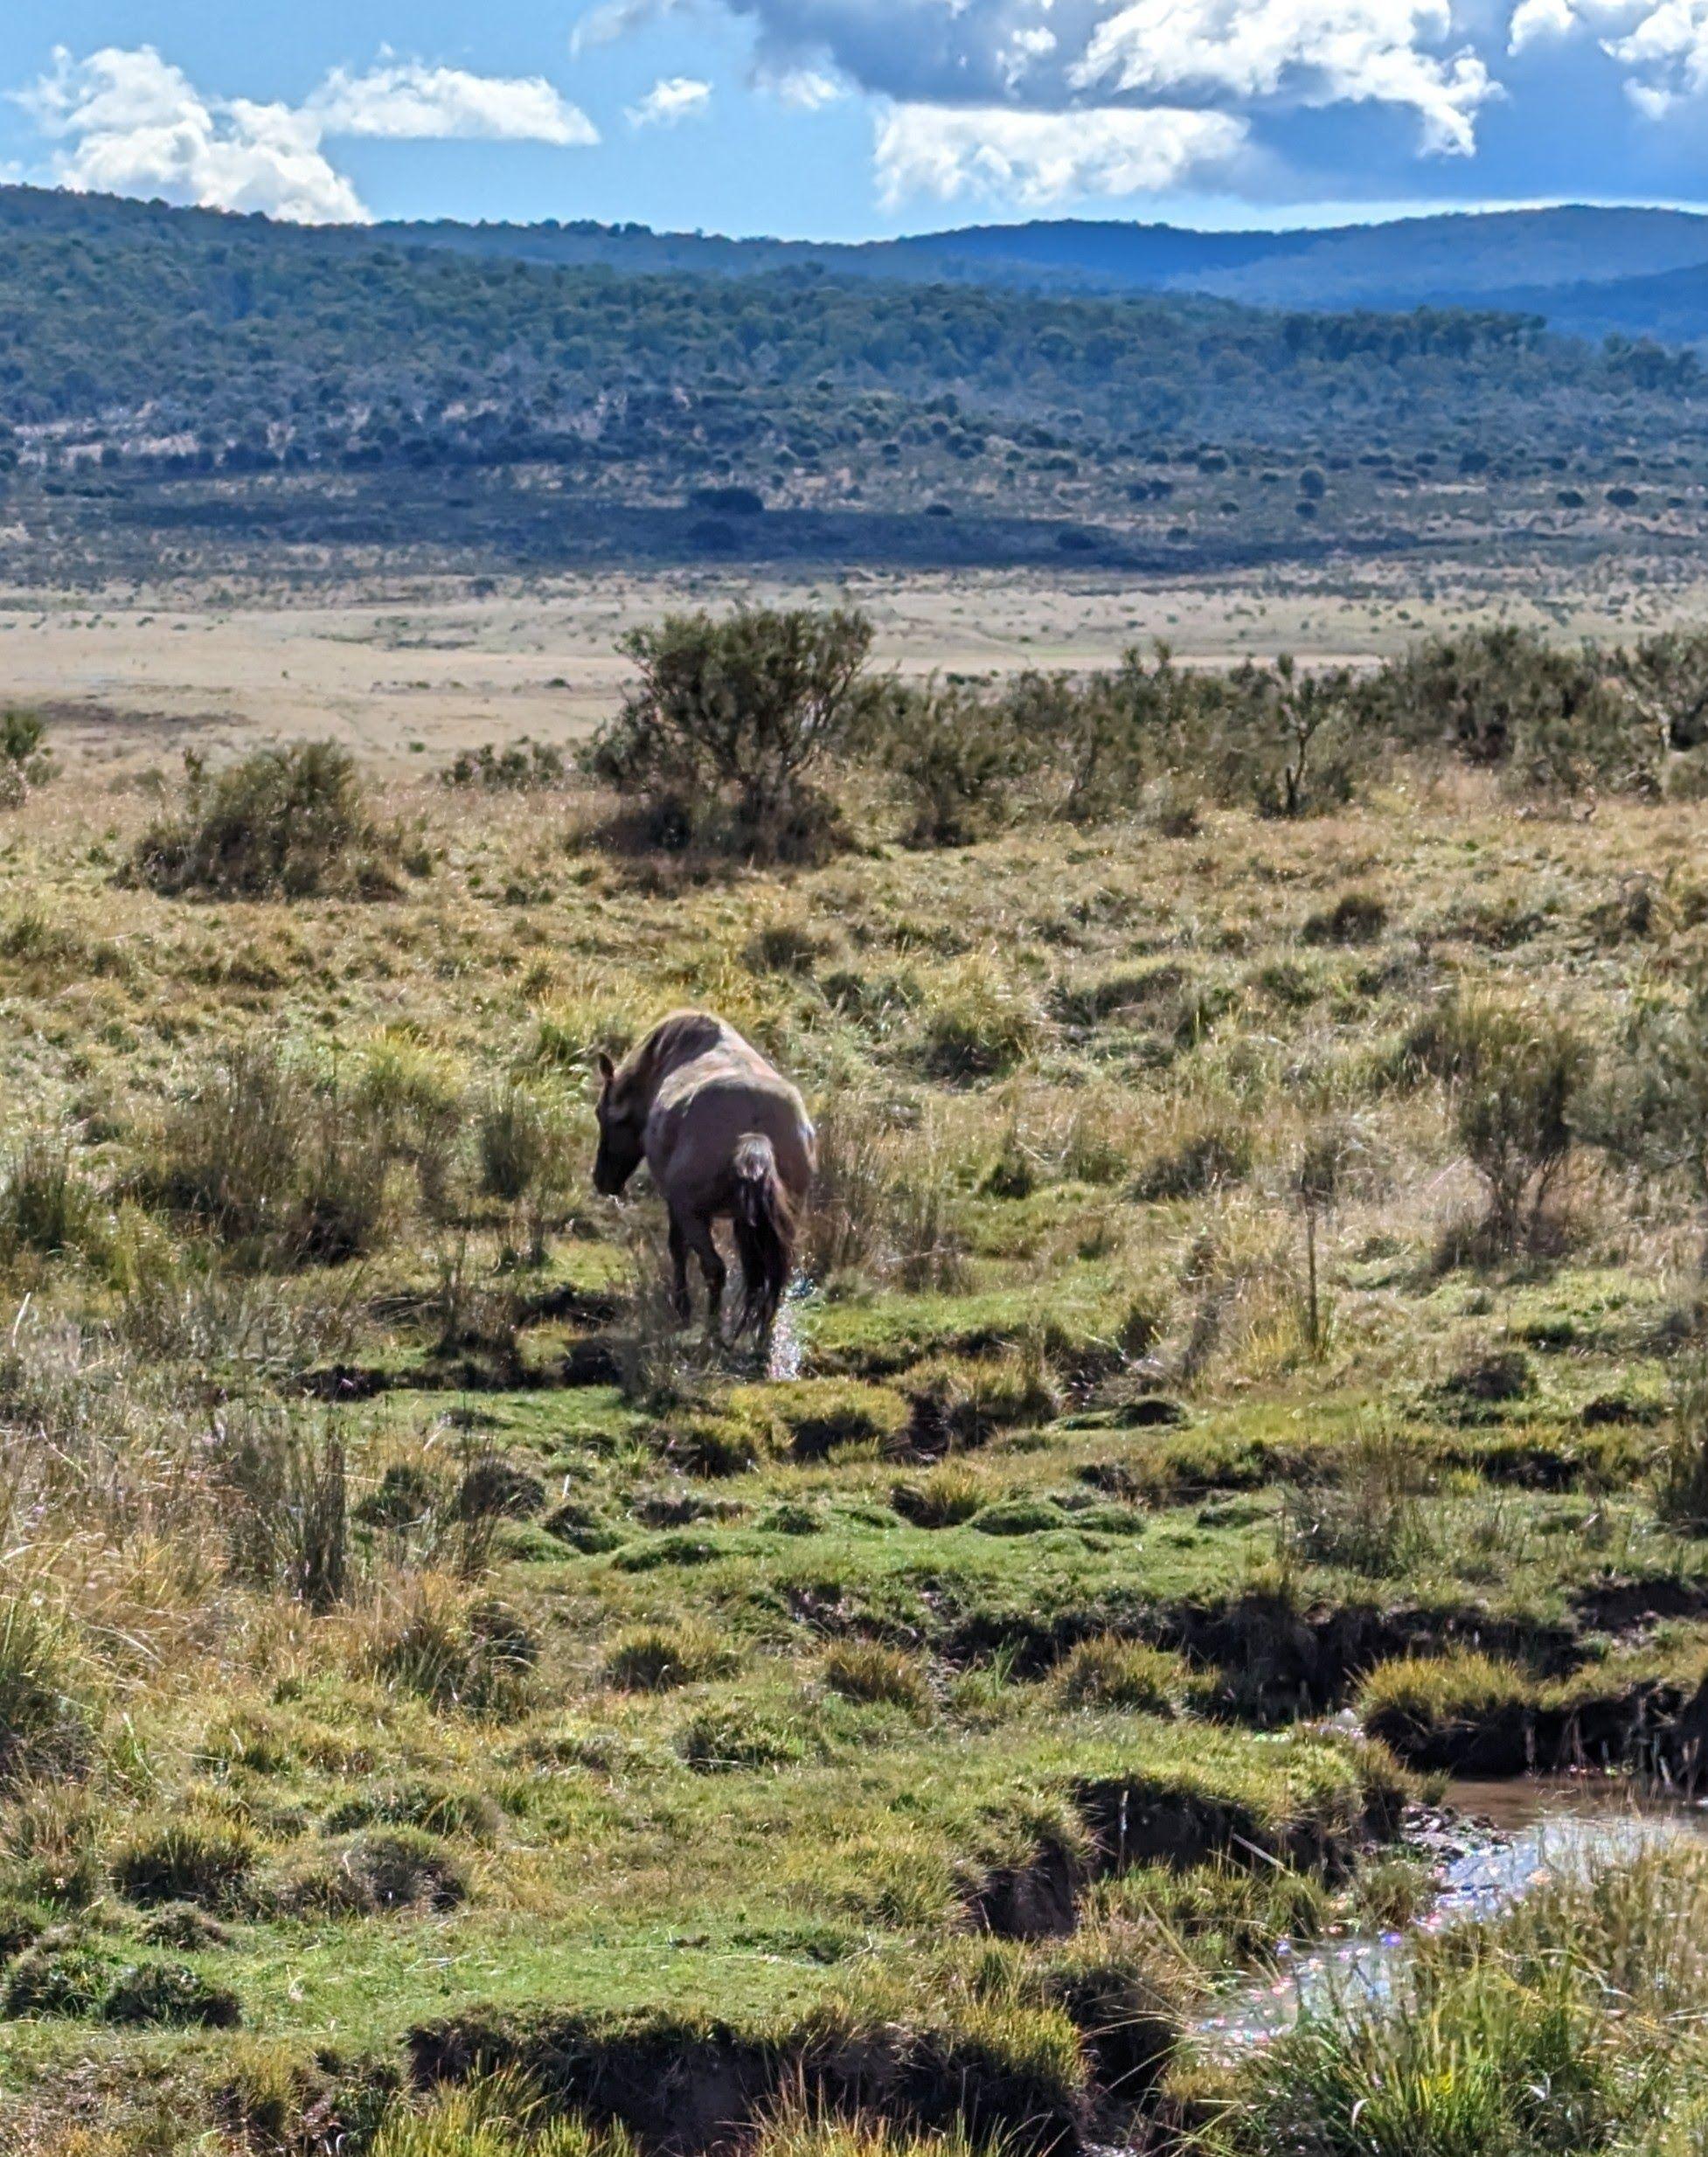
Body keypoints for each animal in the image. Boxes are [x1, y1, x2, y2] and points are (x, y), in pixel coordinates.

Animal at [594, 1010, 816, 1350]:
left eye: (600, 1114)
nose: (602, 1180)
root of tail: (755, 1134)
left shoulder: (676, 1203)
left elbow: (677, 1249)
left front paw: (682, 1309)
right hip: (780, 1217)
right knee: (774, 1273)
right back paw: (761, 1340)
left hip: (695, 1213)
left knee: (715, 1268)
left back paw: (713, 1333)